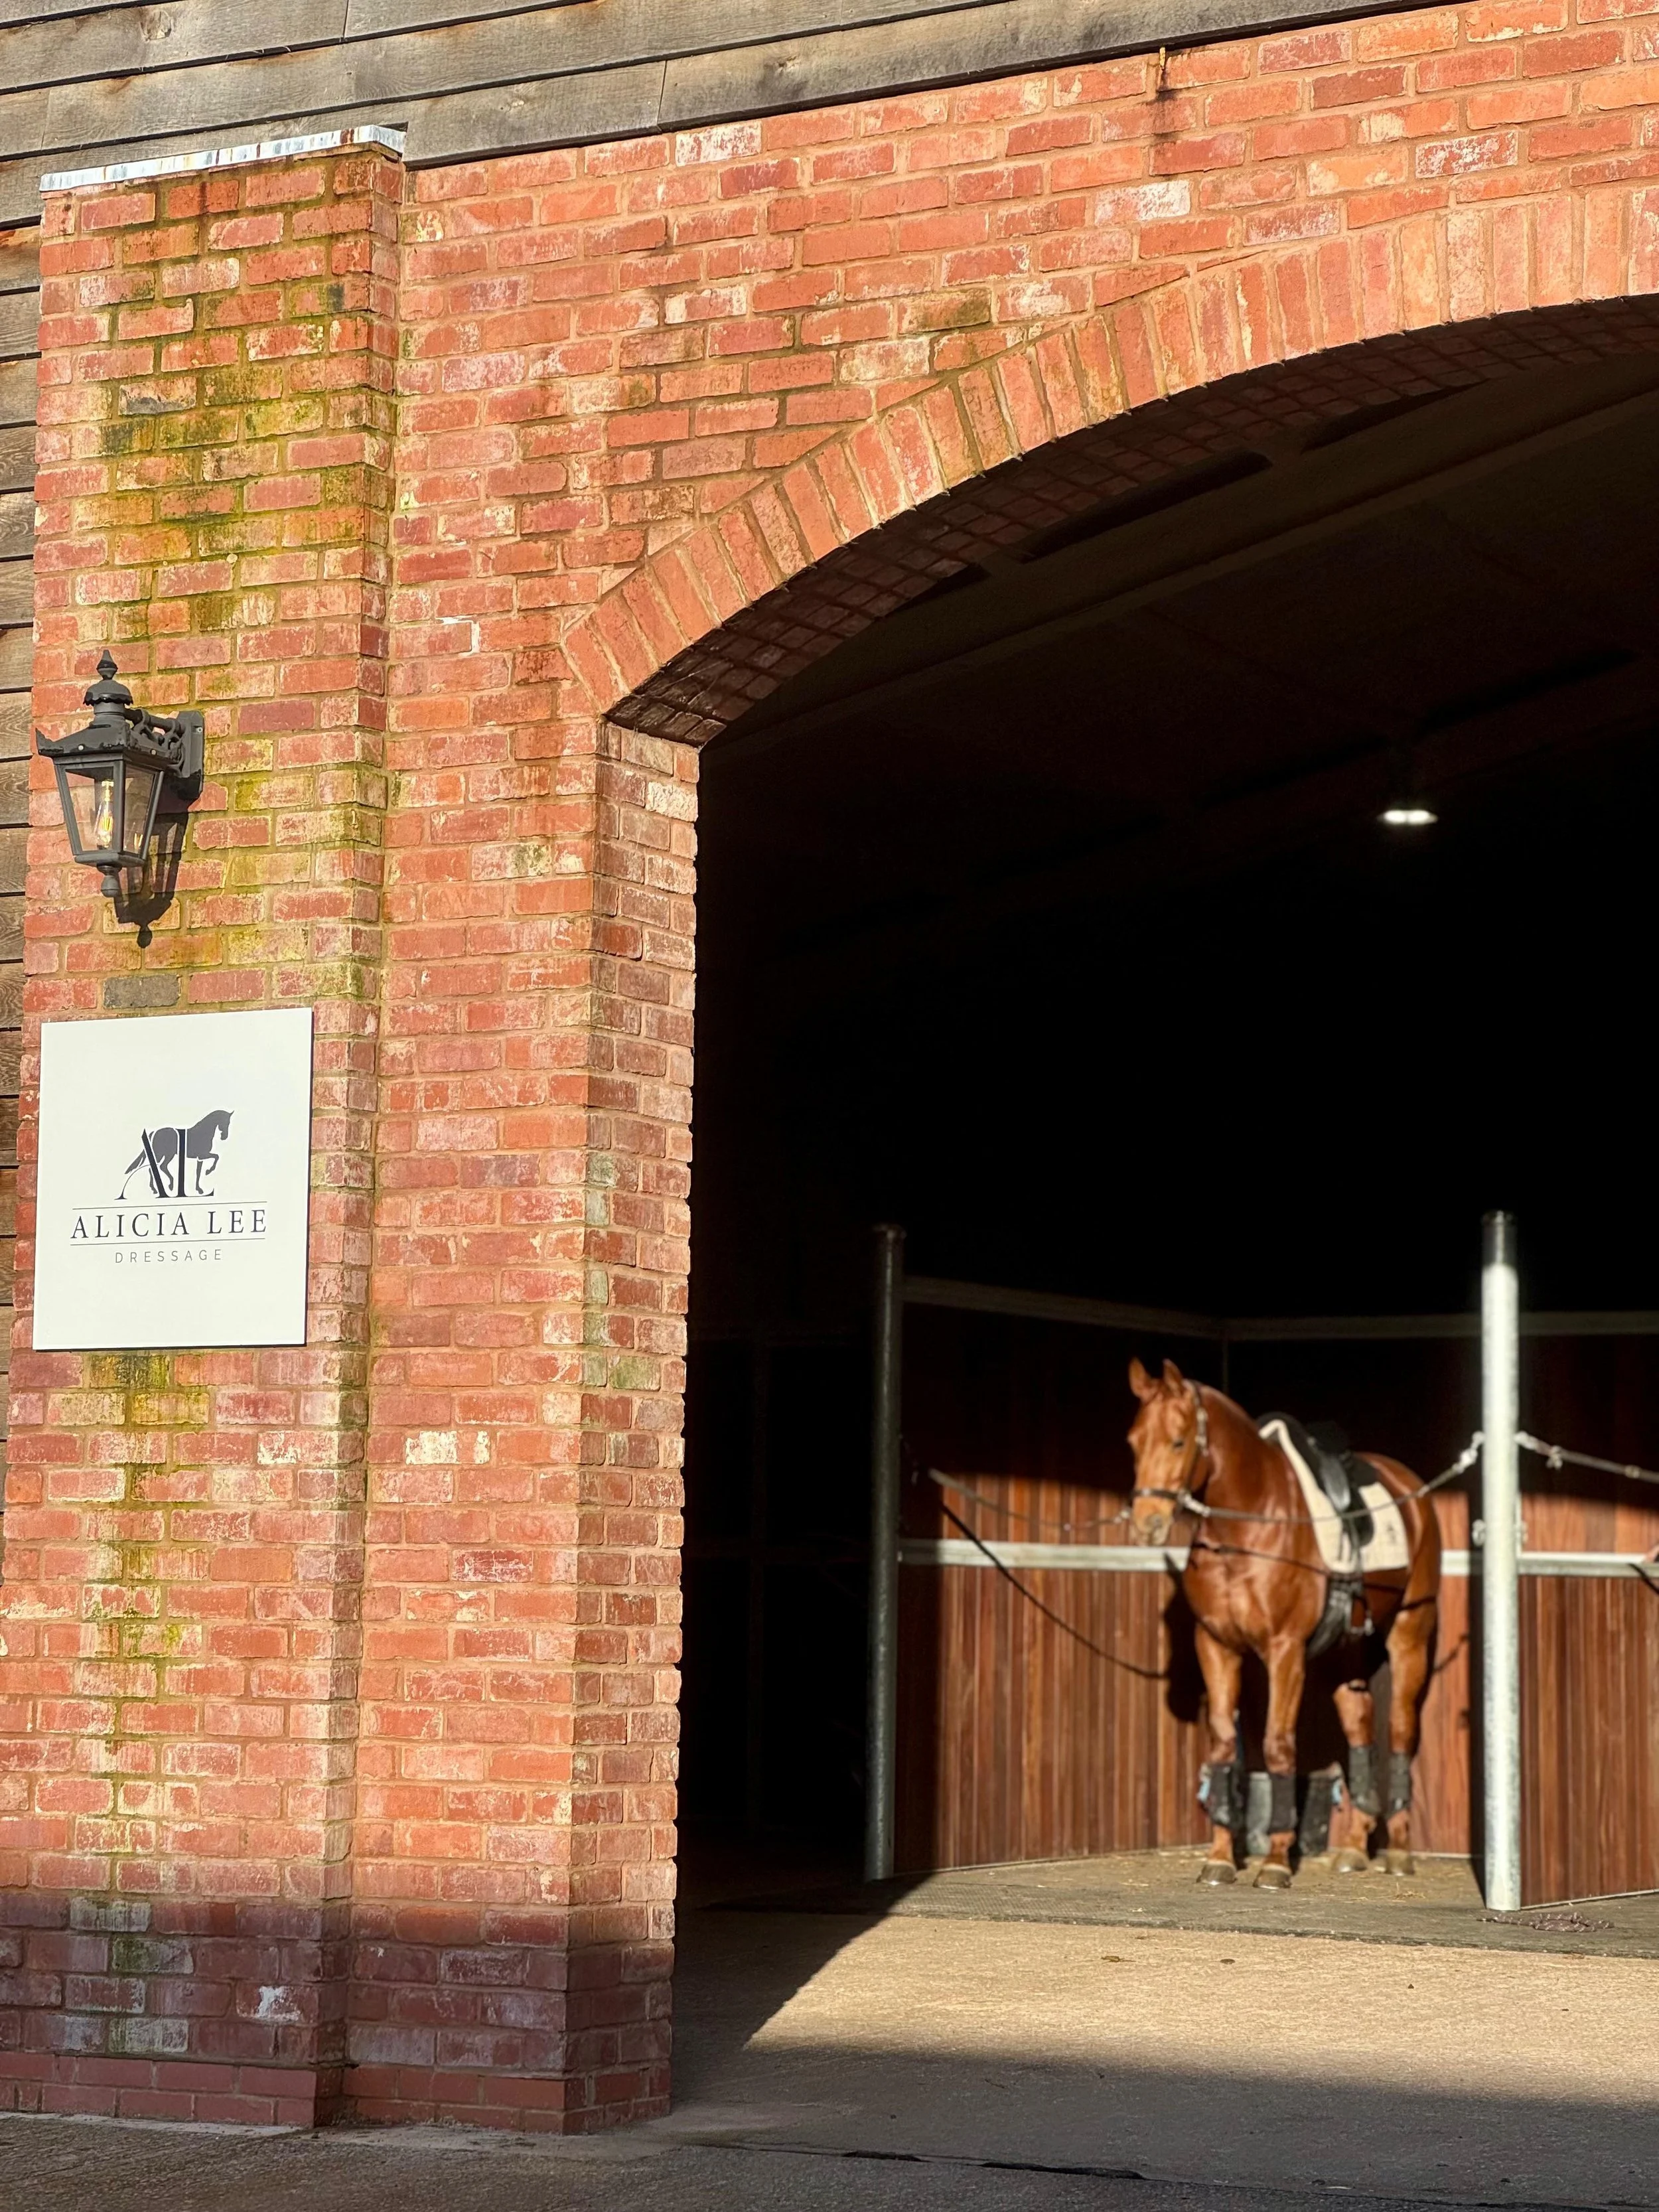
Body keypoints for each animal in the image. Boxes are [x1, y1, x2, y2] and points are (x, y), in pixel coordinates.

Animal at [119, 1109, 233, 1200]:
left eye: (229, 1123)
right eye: (225, 1121)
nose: (224, 1137)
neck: (204, 1133)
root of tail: (154, 1133)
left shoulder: (200, 1158)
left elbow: (199, 1172)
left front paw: (199, 1189)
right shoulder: (203, 1155)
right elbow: (216, 1157)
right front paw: (209, 1171)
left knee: (157, 1167)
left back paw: (158, 1188)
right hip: (164, 1154)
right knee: (158, 1167)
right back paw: (167, 1186)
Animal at [1126, 1357, 1442, 1890]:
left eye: (1178, 1441)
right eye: (1133, 1441)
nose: (1147, 1523)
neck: (1250, 1524)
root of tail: (1411, 1488)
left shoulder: (1284, 1651)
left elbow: (1277, 1746)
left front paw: (1274, 1861)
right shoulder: (1217, 1647)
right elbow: (1224, 1747)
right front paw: (1220, 1858)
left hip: (1409, 1634)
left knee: (1400, 1730)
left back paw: (1398, 1850)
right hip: (1342, 1653)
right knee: (1361, 1728)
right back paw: (1355, 1846)